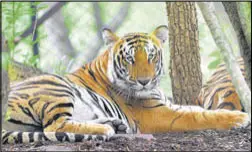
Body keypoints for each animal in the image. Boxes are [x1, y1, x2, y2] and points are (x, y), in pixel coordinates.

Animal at [1, 25, 250, 144]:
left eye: (151, 56)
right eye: (130, 59)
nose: (144, 81)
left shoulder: (168, 104)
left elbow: (195, 108)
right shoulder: (159, 114)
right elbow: (200, 115)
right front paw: (239, 117)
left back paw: (114, 124)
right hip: (55, 85)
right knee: (55, 126)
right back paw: (106, 129)